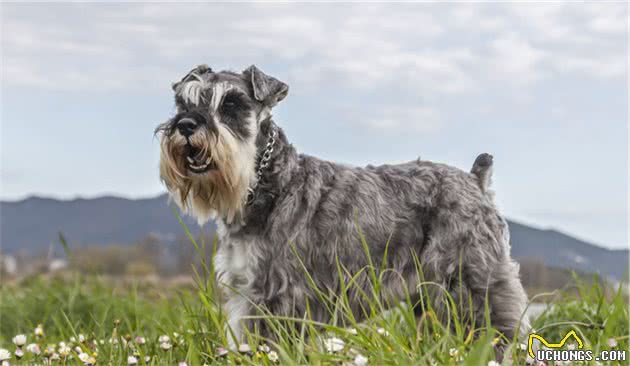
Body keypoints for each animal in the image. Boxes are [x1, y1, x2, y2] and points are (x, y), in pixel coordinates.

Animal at [156, 65, 532, 352]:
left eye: (232, 104)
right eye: (181, 102)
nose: (185, 125)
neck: (270, 182)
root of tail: (475, 180)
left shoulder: (276, 293)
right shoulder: (245, 290)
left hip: (473, 282)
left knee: (500, 328)